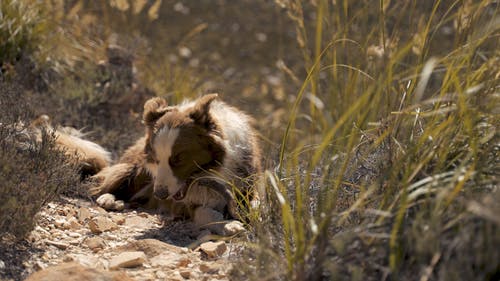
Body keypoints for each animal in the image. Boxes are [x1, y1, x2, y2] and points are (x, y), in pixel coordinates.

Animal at [91, 94, 262, 234]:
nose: (160, 195)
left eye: (178, 158)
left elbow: (256, 204)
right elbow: (205, 213)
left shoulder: (246, 184)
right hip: (138, 170)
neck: (212, 171)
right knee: (109, 184)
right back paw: (109, 199)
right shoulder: (189, 204)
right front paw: (229, 225)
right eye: (156, 159)